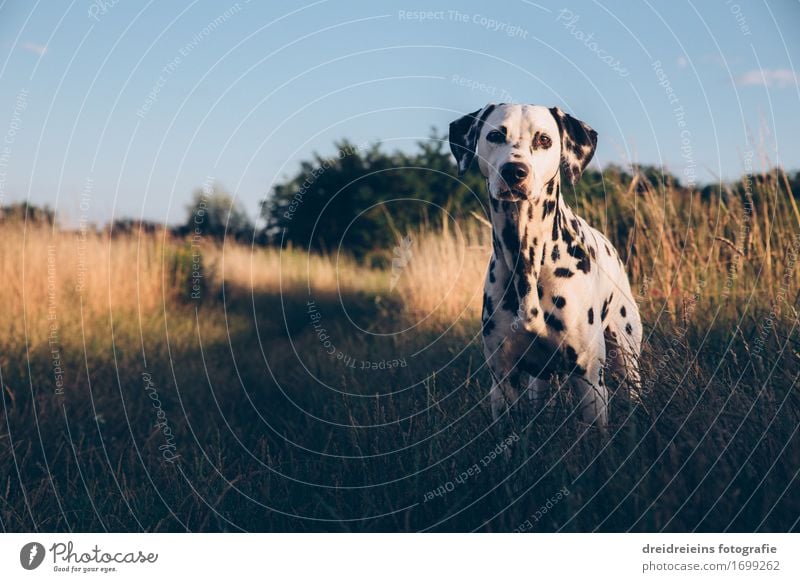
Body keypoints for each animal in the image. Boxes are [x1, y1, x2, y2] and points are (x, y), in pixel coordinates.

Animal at [450, 104, 644, 428]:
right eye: (495, 135)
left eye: (543, 139)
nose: (514, 171)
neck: (527, 259)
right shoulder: (503, 379)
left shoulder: (588, 379)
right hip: (538, 381)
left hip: (626, 352)